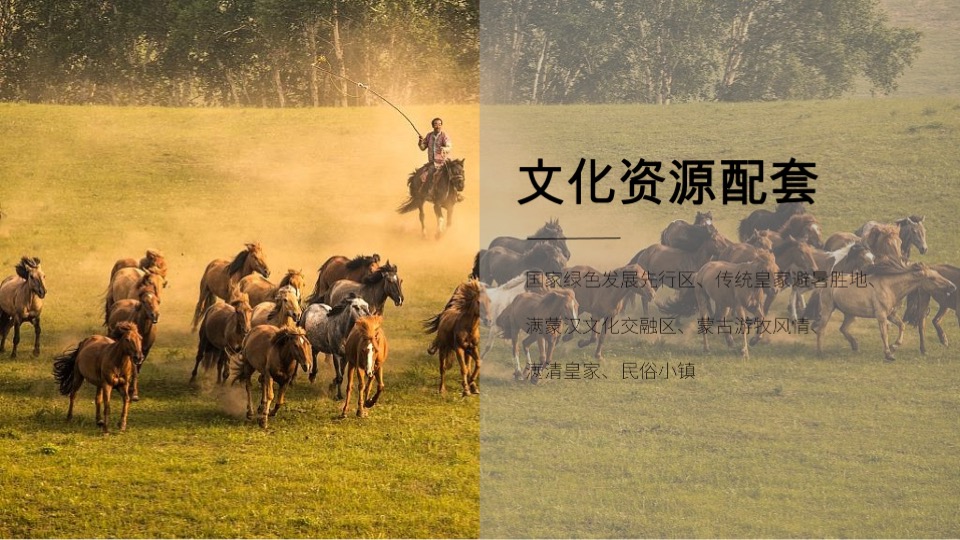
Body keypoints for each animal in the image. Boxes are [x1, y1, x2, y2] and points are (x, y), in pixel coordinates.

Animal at [813, 262, 956, 361]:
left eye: (939, 274)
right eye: (932, 278)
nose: (953, 287)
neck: (890, 288)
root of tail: (825, 282)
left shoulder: (891, 315)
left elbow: (902, 326)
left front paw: (894, 347)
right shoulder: (881, 315)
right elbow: (884, 334)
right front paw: (888, 354)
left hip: (850, 314)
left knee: (842, 328)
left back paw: (855, 346)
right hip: (828, 309)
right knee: (821, 330)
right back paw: (820, 353)